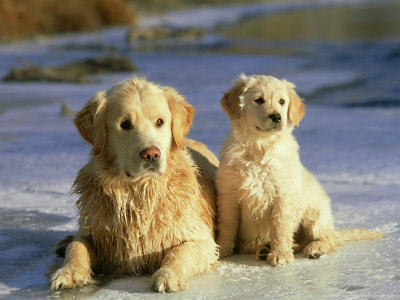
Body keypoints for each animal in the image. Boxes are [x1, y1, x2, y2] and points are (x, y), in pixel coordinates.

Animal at [50, 76, 219, 292]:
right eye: (125, 124)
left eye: (160, 122)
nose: (152, 154)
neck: (137, 192)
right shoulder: (95, 230)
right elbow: (77, 246)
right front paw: (68, 273)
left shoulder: (202, 239)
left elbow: (180, 252)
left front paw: (168, 275)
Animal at [216, 74, 384, 266]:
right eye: (258, 100)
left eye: (282, 101)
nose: (276, 117)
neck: (260, 147)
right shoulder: (228, 193)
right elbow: (226, 224)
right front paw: (221, 251)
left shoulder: (283, 193)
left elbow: (280, 225)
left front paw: (280, 254)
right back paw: (267, 249)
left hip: (314, 212)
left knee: (330, 239)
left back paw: (315, 248)